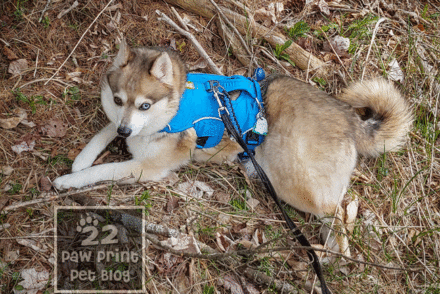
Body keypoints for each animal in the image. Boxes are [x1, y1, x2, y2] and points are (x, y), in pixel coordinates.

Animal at [53, 40, 414, 217]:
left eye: (145, 105)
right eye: (118, 99)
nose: (127, 133)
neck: (175, 108)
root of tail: (349, 117)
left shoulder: (146, 167)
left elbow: (105, 170)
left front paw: (70, 180)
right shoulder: (121, 125)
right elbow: (104, 130)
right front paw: (82, 159)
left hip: (295, 182)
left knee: (337, 213)